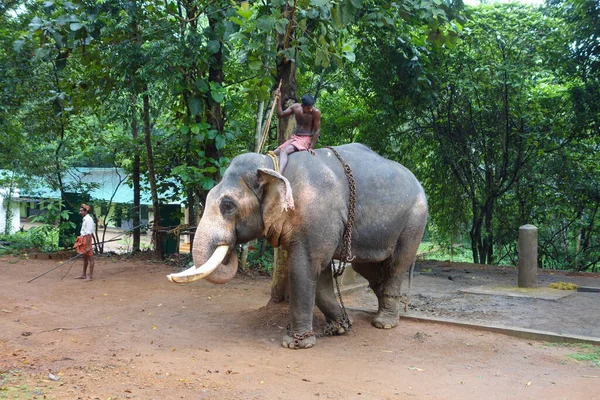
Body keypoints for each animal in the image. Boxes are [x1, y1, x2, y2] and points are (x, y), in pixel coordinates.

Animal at [168, 142, 426, 348]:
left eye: (228, 205)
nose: (231, 247)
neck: (273, 165)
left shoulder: (317, 215)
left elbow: (305, 267)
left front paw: (296, 344)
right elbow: (321, 273)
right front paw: (340, 327)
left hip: (415, 221)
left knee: (397, 264)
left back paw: (385, 323)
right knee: (369, 266)